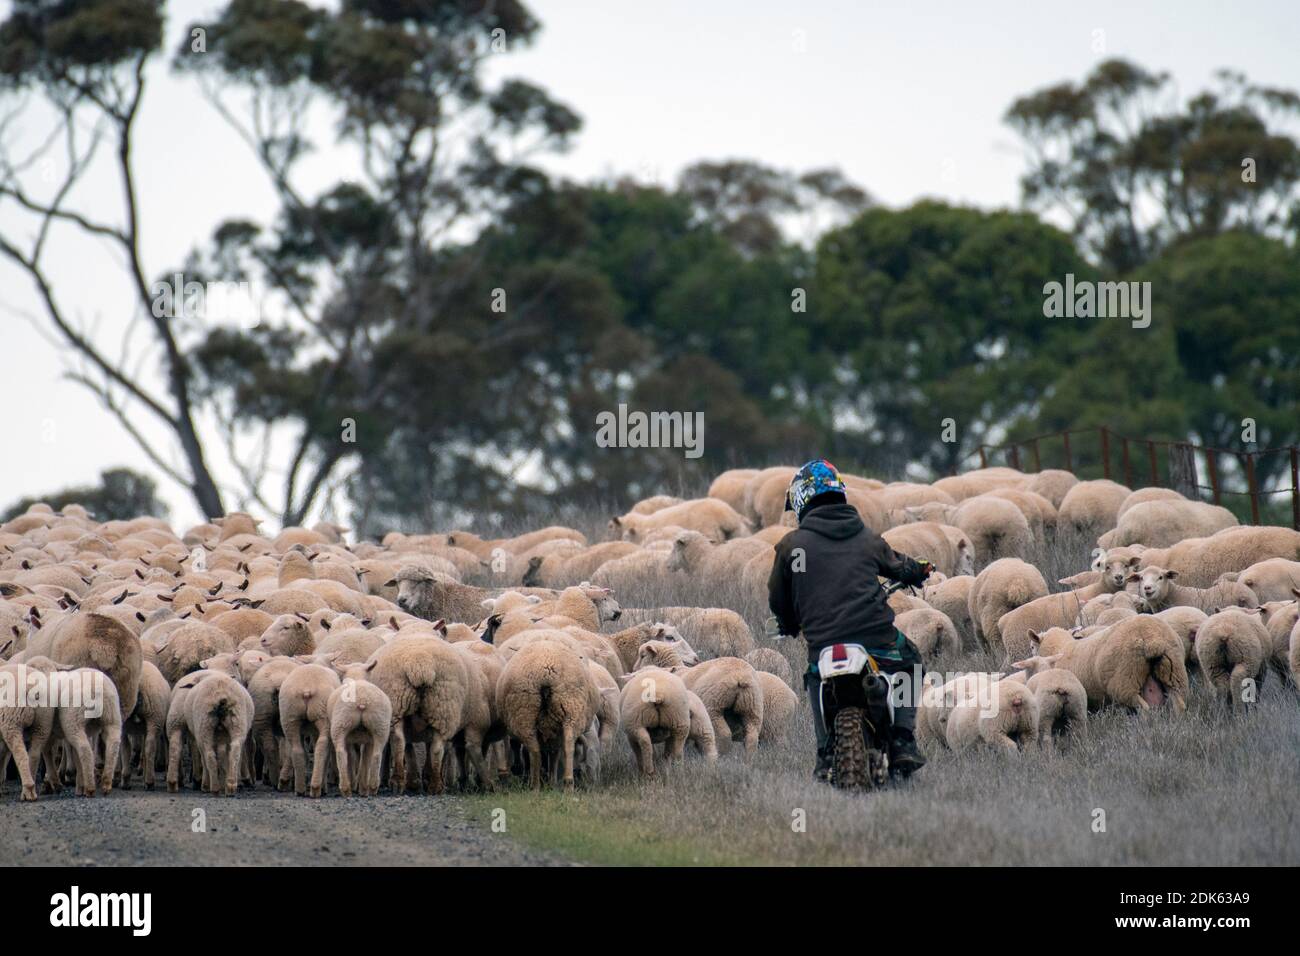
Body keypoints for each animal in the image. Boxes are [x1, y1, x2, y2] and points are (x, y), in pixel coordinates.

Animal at [327, 667, 393, 797]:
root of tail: (362, 699)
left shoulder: (362, 740)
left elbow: (358, 758)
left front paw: (359, 786)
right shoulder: (367, 740)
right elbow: (363, 759)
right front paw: (361, 787)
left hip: (342, 724)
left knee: (342, 753)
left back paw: (348, 788)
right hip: (379, 726)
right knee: (376, 755)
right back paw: (370, 788)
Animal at [495, 637, 600, 790]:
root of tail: (546, 670)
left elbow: (552, 752)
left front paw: (550, 781)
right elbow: (554, 752)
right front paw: (551, 781)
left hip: (526, 713)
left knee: (536, 750)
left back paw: (537, 786)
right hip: (570, 709)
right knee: (567, 746)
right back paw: (565, 784)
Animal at [1027, 616, 1189, 713]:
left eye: (1032, 647)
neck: (1061, 647)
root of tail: (1150, 637)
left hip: (1124, 683)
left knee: (1144, 708)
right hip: (1174, 673)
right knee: (1178, 703)